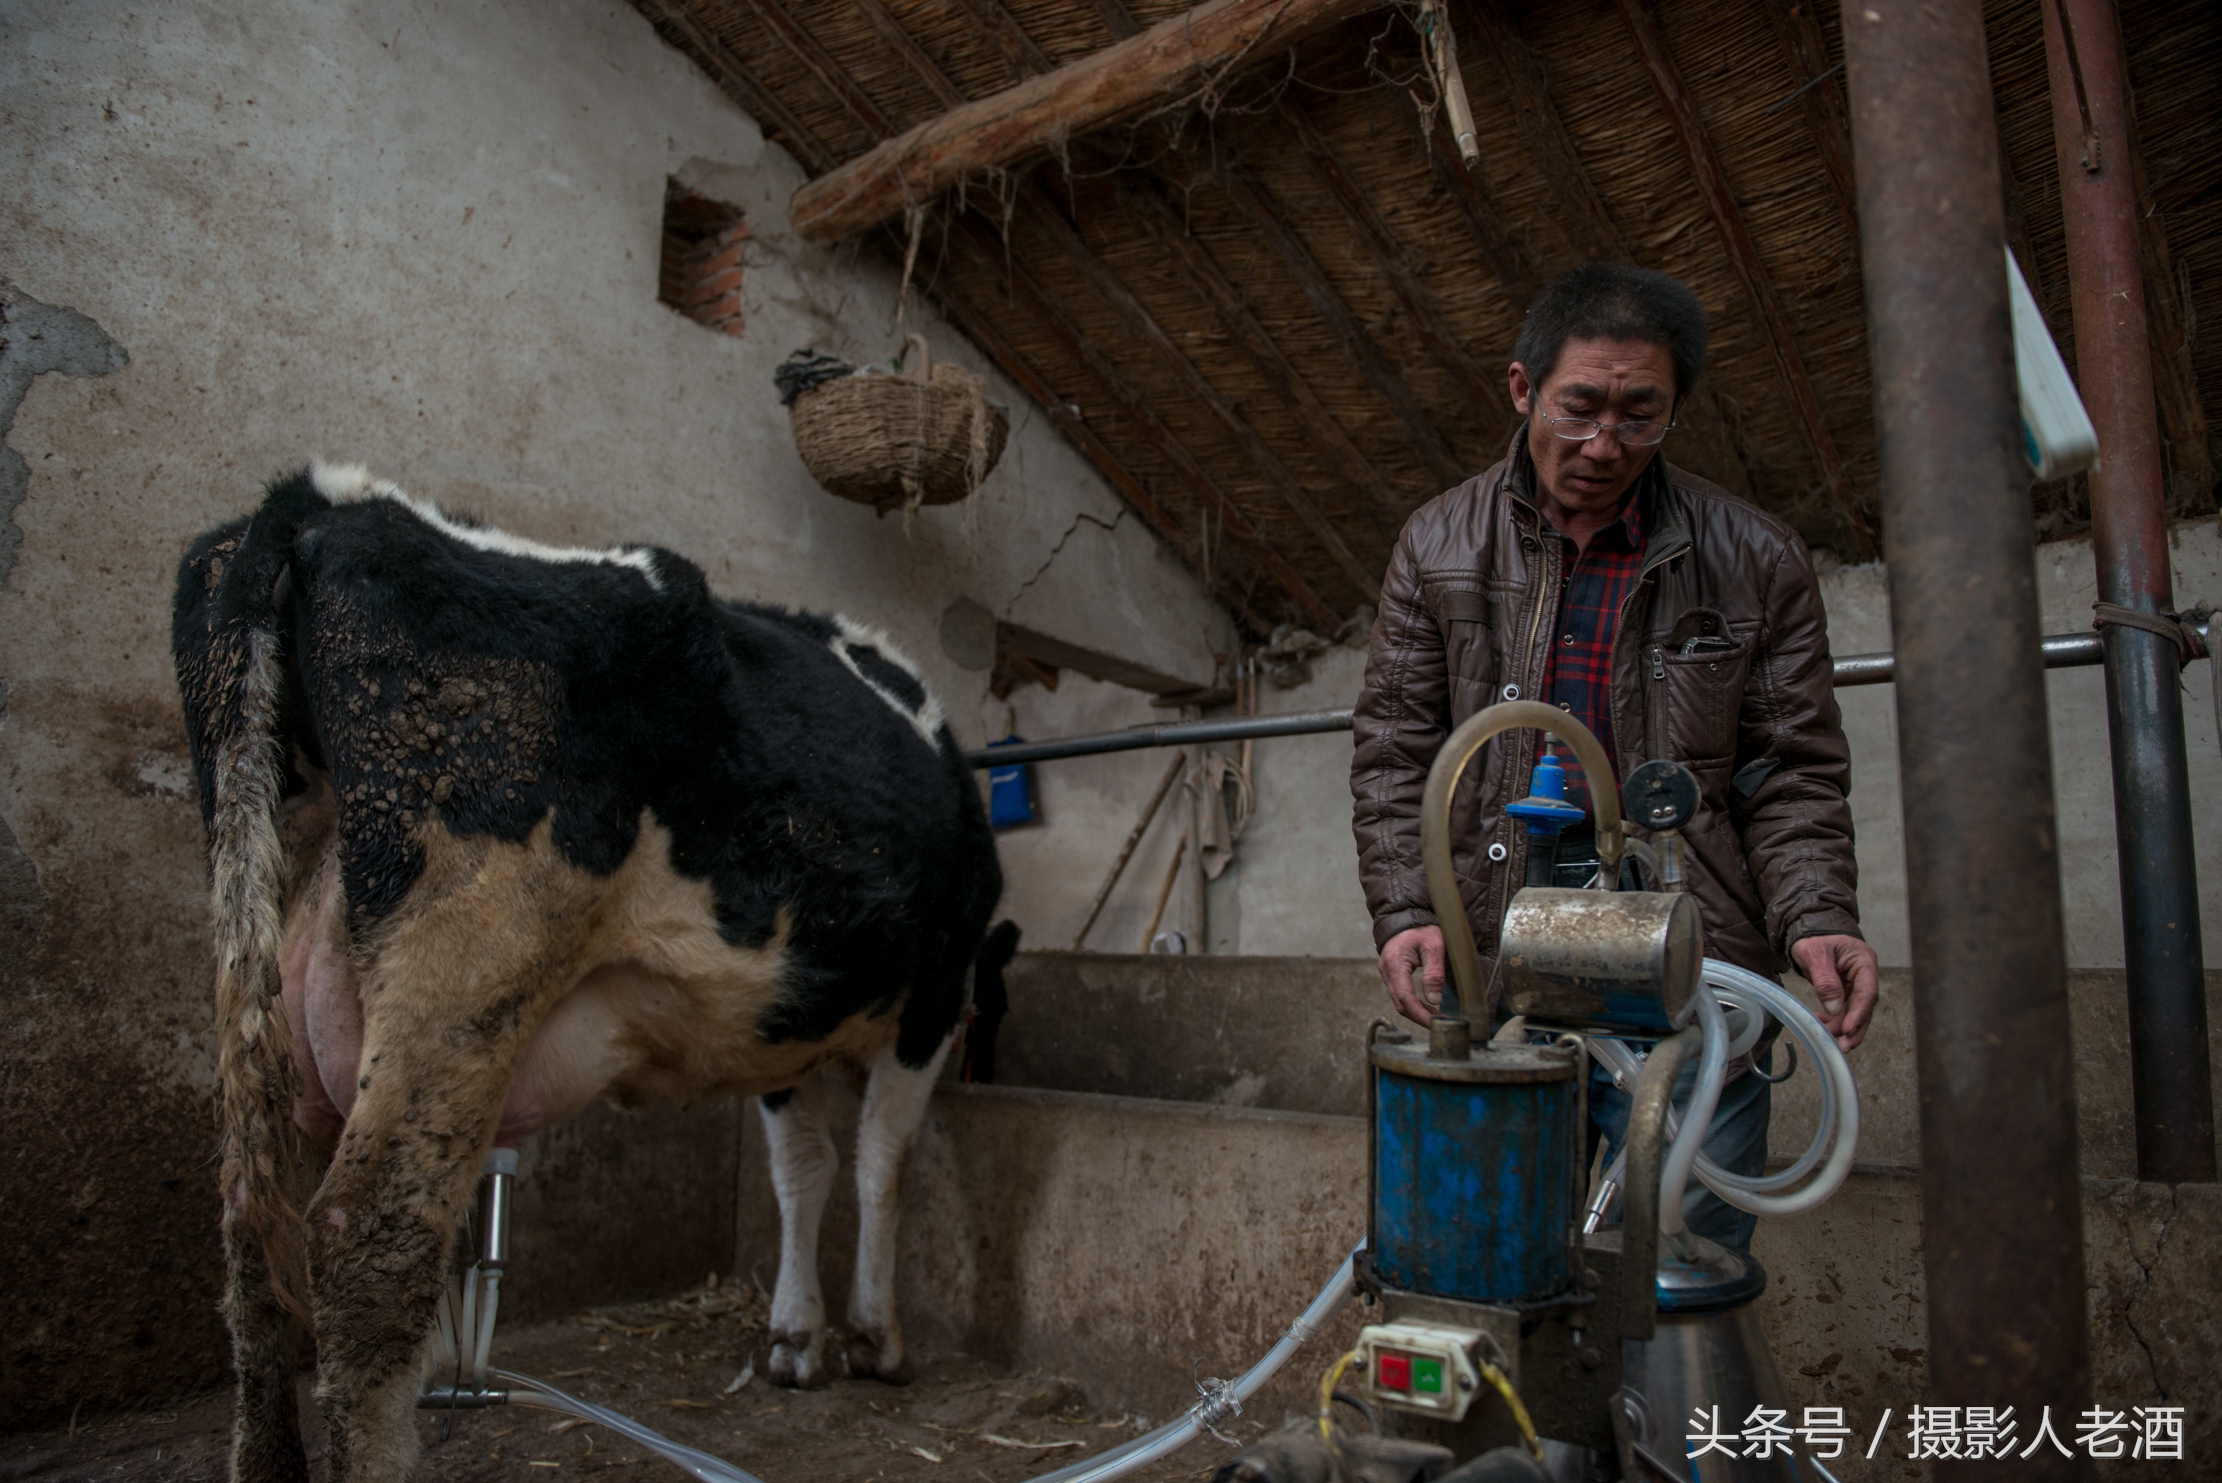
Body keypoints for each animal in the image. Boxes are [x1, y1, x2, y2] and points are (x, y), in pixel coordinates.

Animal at [173, 469, 1008, 1483]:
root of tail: (326, 499)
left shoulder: (783, 1021)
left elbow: (801, 1170)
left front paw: (795, 1338)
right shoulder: (933, 996)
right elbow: (882, 1163)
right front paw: (877, 1338)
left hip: (255, 962)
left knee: (251, 1239)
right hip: (465, 961)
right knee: (365, 1242)